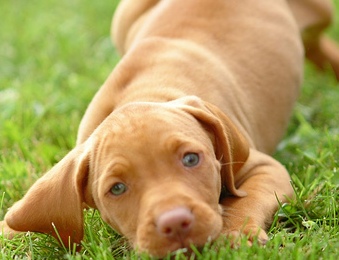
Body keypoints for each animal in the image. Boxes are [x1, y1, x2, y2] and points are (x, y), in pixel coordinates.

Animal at [1, 0, 339, 256]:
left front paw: (236, 234)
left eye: (191, 159)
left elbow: (247, 198)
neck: (145, 92)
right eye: (117, 189)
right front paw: (7, 229)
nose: (175, 223)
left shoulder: (264, 167)